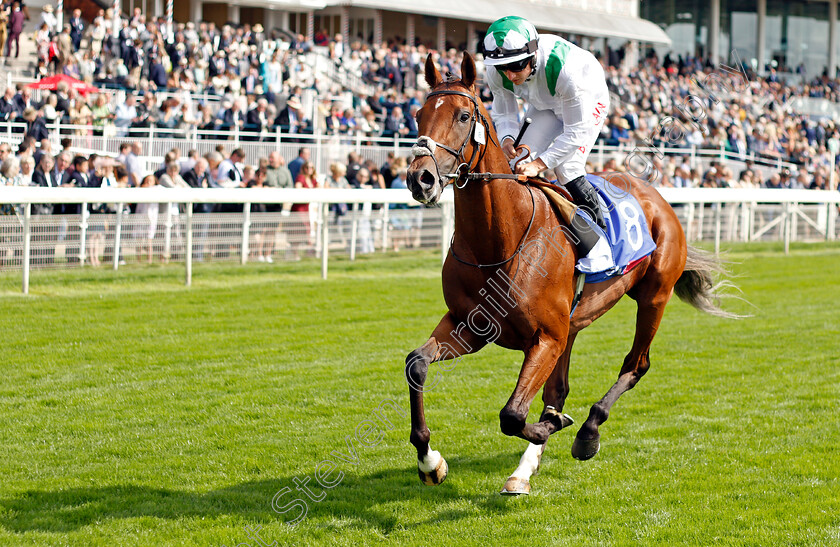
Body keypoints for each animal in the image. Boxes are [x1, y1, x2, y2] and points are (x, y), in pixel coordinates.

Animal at [404, 52, 732, 496]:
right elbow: (416, 364)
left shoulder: (545, 336)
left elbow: (513, 415)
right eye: (418, 114)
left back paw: (587, 433)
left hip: (653, 297)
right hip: (572, 325)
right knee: (559, 387)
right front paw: (430, 462)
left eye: (462, 115)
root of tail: (656, 197)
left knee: (636, 364)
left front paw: (553, 427)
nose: (420, 178)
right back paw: (525, 468)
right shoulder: (468, 326)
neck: (501, 240)